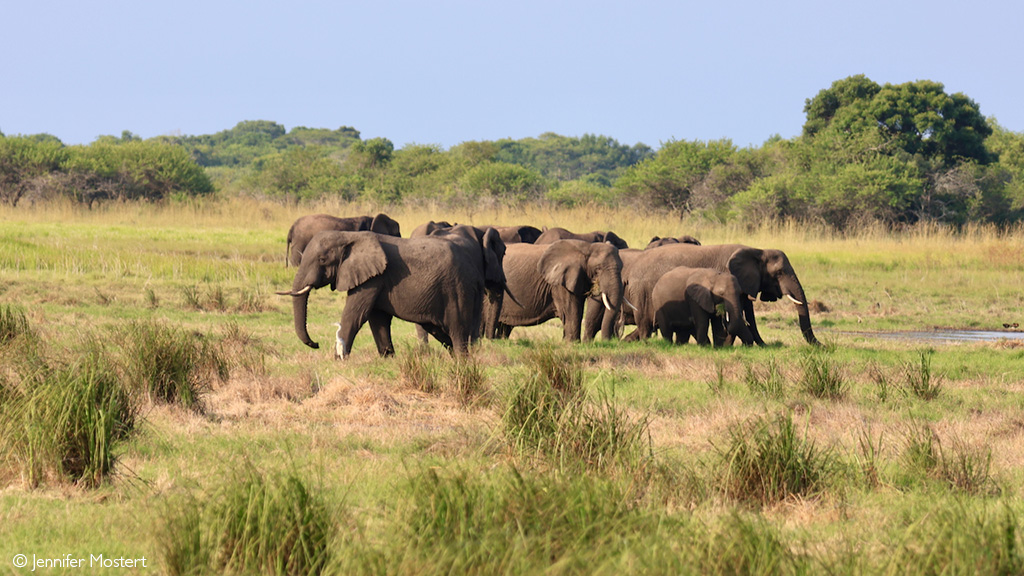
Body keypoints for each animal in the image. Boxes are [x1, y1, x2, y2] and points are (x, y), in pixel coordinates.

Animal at [277, 231, 485, 358]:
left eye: (322, 259)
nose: (316, 343)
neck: (349, 236)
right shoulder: (374, 278)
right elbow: (377, 319)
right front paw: (388, 358)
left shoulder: (373, 279)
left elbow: (355, 314)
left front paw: (338, 360)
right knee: (443, 333)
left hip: (456, 289)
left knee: (458, 330)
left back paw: (463, 362)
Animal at [495, 239, 623, 342]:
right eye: (598, 269)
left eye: (622, 268)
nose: (608, 342)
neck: (586, 247)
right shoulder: (559, 283)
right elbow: (572, 310)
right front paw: (572, 343)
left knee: (505, 326)